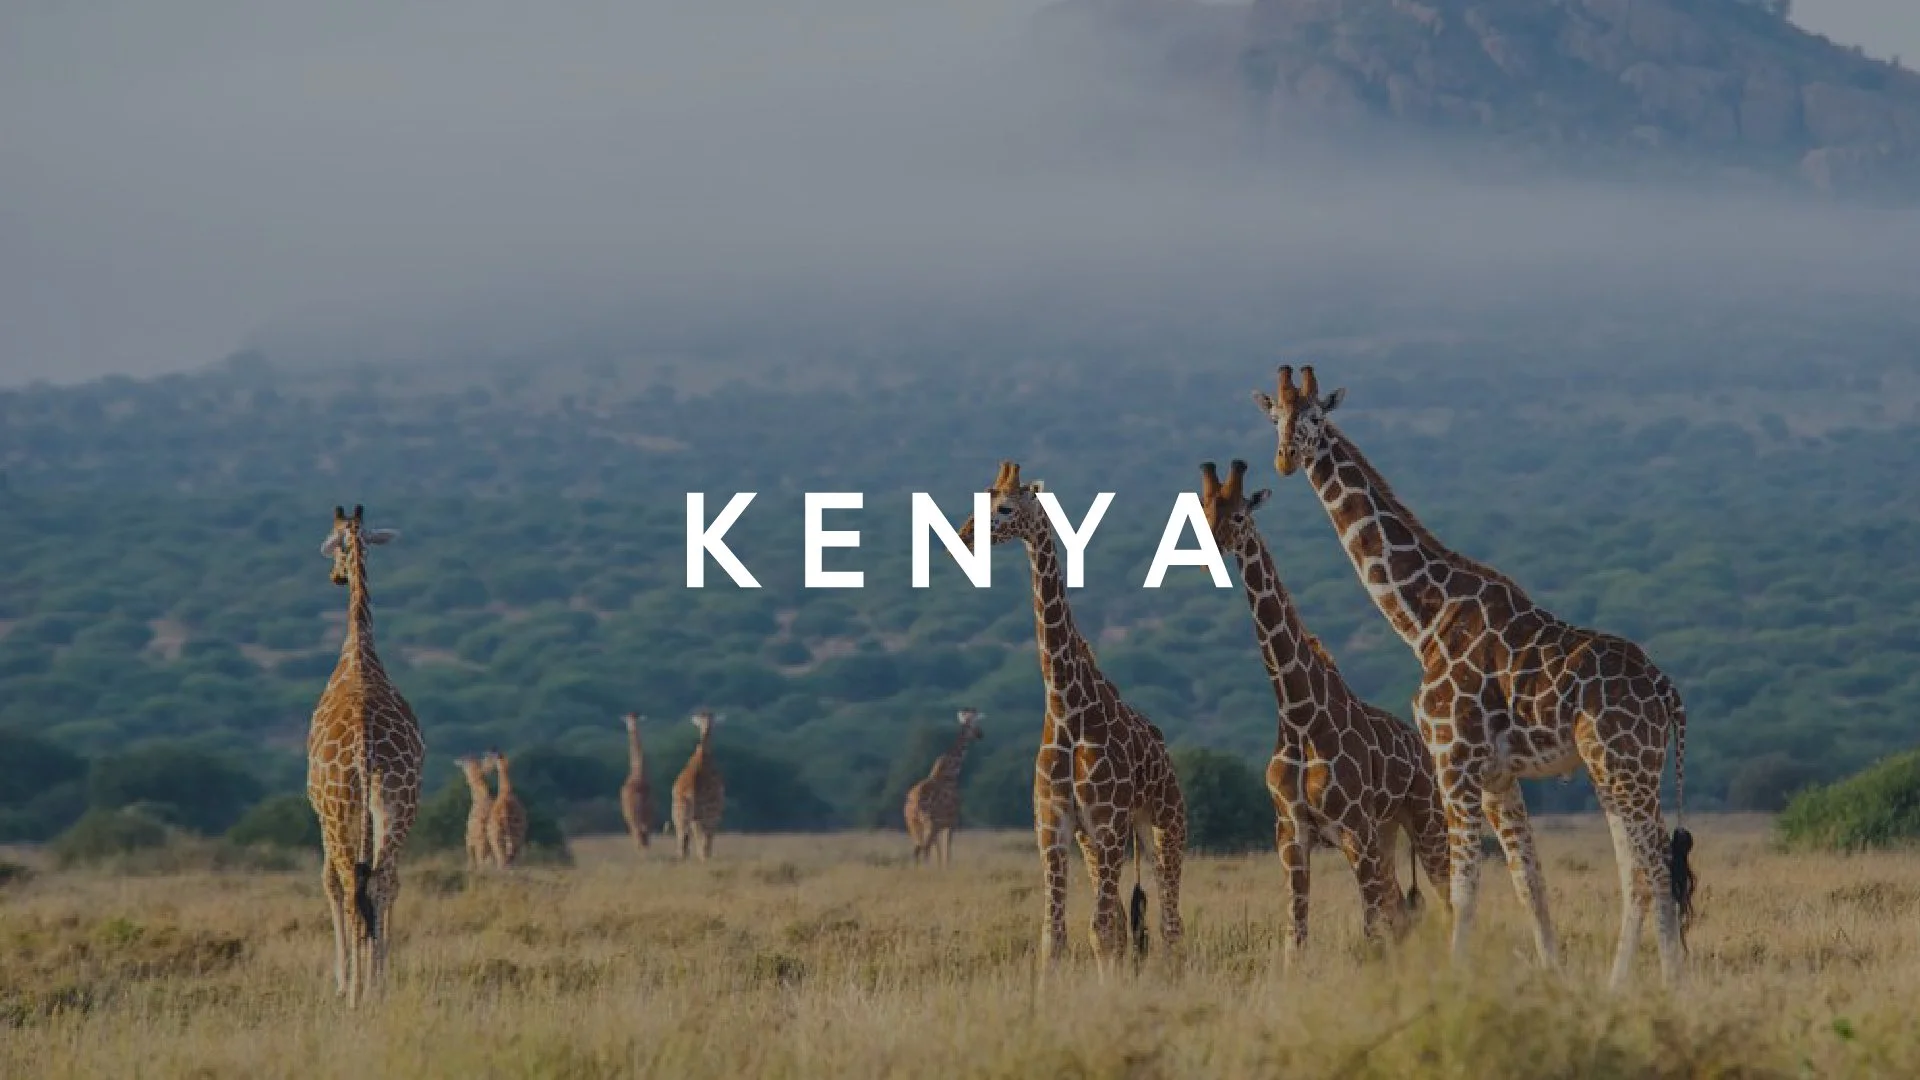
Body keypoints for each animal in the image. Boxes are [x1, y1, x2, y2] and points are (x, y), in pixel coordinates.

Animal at [671, 712, 724, 861]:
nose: (707, 728)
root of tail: (691, 791)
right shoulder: (715, 813)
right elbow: (706, 841)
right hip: (705, 815)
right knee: (704, 841)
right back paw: (705, 859)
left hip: (679, 815)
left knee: (682, 844)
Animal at [903, 708, 986, 867]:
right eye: (973, 723)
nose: (981, 734)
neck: (950, 773)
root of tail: (914, 805)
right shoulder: (951, 822)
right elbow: (946, 851)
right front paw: (946, 868)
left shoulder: (940, 825)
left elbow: (939, 852)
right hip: (928, 823)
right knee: (924, 848)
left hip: (913, 824)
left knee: (918, 849)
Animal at [955, 460, 1186, 972]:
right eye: (979, 501)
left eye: (1006, 508)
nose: (964, 534)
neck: (1066, 709)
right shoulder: (1055, 830)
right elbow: (1056, 934)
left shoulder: (1107, 822)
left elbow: (1101, 930)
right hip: (1101, 842)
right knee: (1126, 918)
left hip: (1164, 823)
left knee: (1170, 920)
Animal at [1198, 459, 1450, 957]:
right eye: (1204, 510)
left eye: (1239, 515)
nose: (1208, 555)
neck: (1297, 713)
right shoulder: (1291, 834)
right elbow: (1296, 935)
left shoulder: (1353, 828)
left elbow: (1369, 932)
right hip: (1386, 833)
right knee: (1402, 911)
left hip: (1423, 820)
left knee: (1448, 900)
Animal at [1252, 364, 1695, 988]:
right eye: (1275, 417)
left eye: (1315, 416)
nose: (1286, 458)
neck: (1423, 619)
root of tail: (1668, 692)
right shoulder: (1496, 774)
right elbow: (1528, 882)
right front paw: (1552, 975)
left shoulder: (1452, 757)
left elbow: (1462, 889)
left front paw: (1455, 981)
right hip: (1626, 771)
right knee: (1644, 865)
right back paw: (1645, 981)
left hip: (1623, 765)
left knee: (1649, 866)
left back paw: (1646, 984)